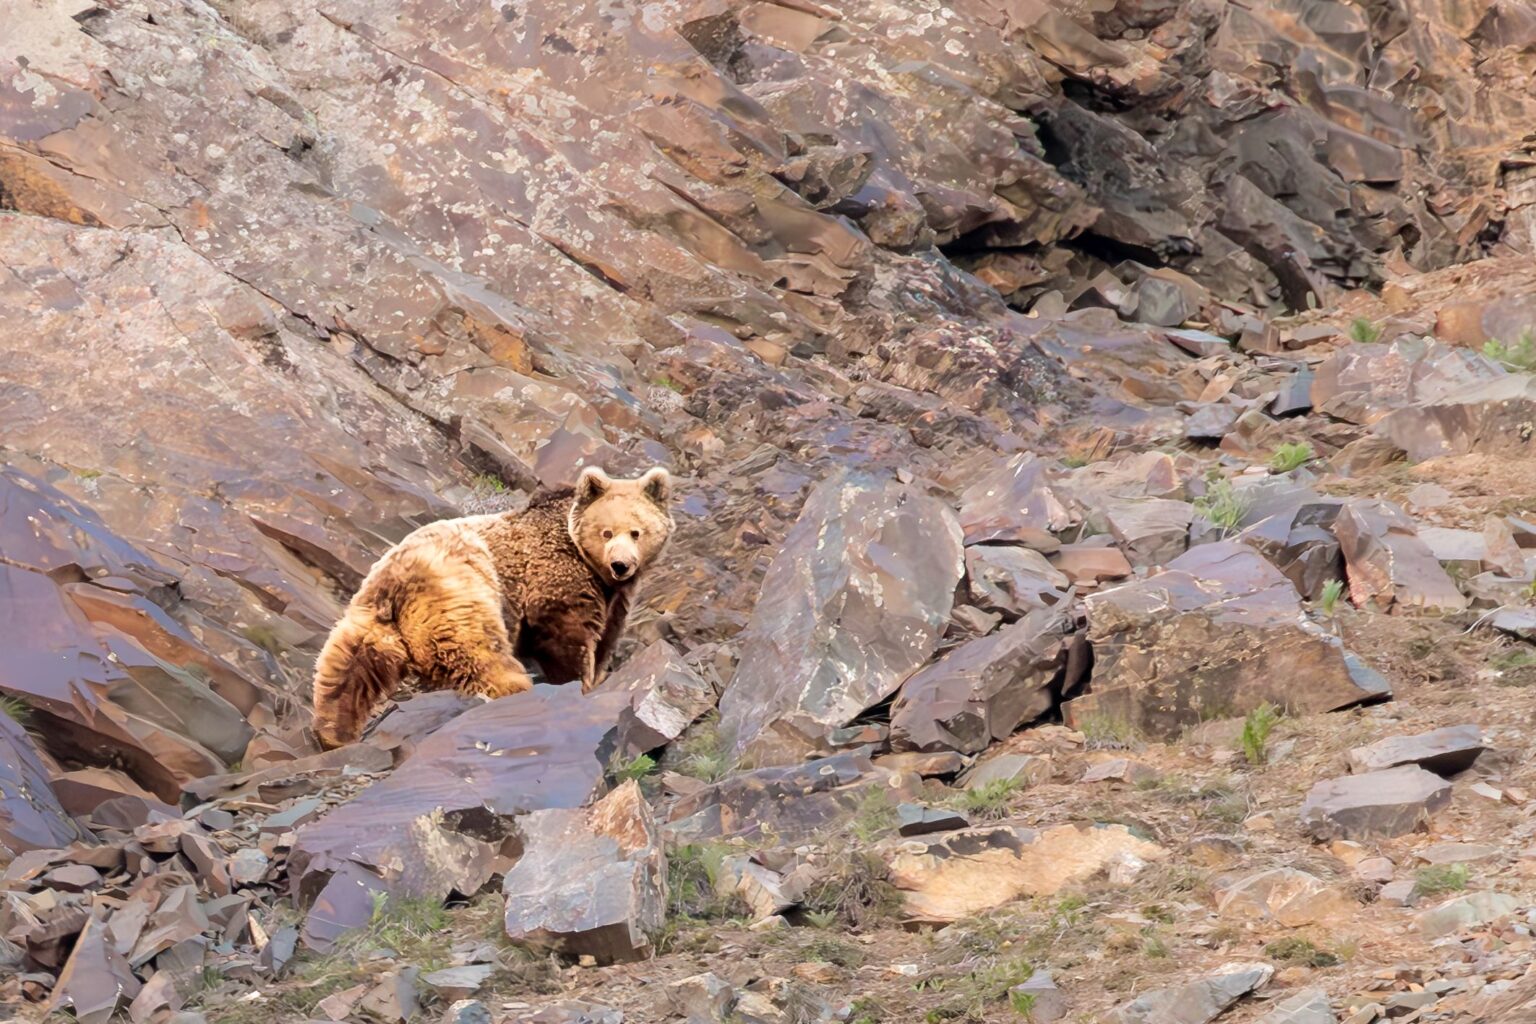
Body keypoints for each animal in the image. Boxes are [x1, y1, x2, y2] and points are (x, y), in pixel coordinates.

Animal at [310, 465, 674, 749]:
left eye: (637, 532)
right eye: (607, 532)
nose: (620, 565)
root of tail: (396, 581)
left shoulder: (614, 600)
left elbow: (605, 639)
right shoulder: (556, 576)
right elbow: (566, 636)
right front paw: (578, 685)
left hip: (368, 618)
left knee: (346, 667)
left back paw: (333, 731)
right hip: (462, 591)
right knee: (478, 655)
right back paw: (515, 690)